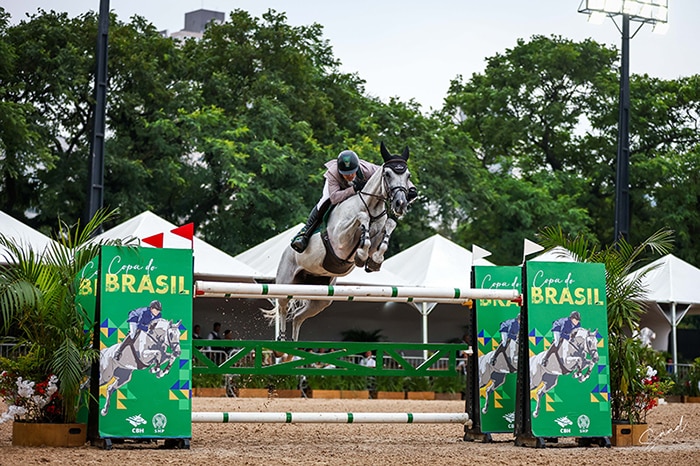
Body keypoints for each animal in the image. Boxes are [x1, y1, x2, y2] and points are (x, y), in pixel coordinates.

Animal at [266, 140, 412, 340]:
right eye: (388, 174)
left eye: (408, 175)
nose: (401, 204)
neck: (371, 207)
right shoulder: (340, 240)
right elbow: (361, 217)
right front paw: (361, 253)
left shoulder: (378, 234)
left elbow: (388, 226)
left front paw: (374, 261)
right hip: (285, 284)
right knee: (282, 309)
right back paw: (281, 342)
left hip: (320, 297)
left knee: (297, 317)